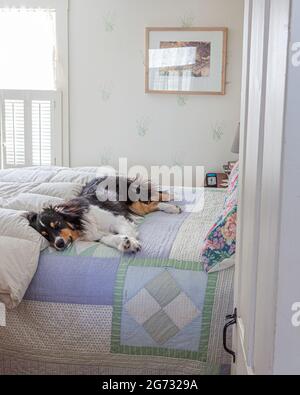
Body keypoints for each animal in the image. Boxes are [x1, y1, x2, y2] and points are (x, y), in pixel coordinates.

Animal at [28, 176, 182, 254]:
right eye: (45, 235)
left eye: (57, 224)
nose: (58, 244)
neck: (81, 223)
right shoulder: (98, 236)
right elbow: (108, 239)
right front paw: (124, 244)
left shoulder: (118, 219)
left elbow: (127, 231)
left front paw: (132, 243)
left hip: (134, 203)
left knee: (152, 202)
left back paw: (171, 204)